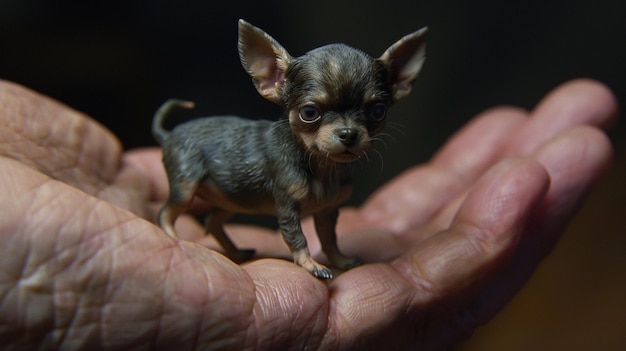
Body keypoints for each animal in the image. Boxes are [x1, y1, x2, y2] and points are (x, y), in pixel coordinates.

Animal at [152, 20, 424, 280]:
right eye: (309, 113)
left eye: (378, 111)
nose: (348, 134)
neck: (321, 167)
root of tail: (168, 135)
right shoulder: (287, 206)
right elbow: (297, 238)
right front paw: (311, 265)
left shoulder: (327, 210)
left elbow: (329, 239)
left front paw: (340, 260)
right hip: (186, 187)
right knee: (166, 213)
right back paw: (175, 237)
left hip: (230, 197)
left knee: (212, 221)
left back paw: (236, 253)